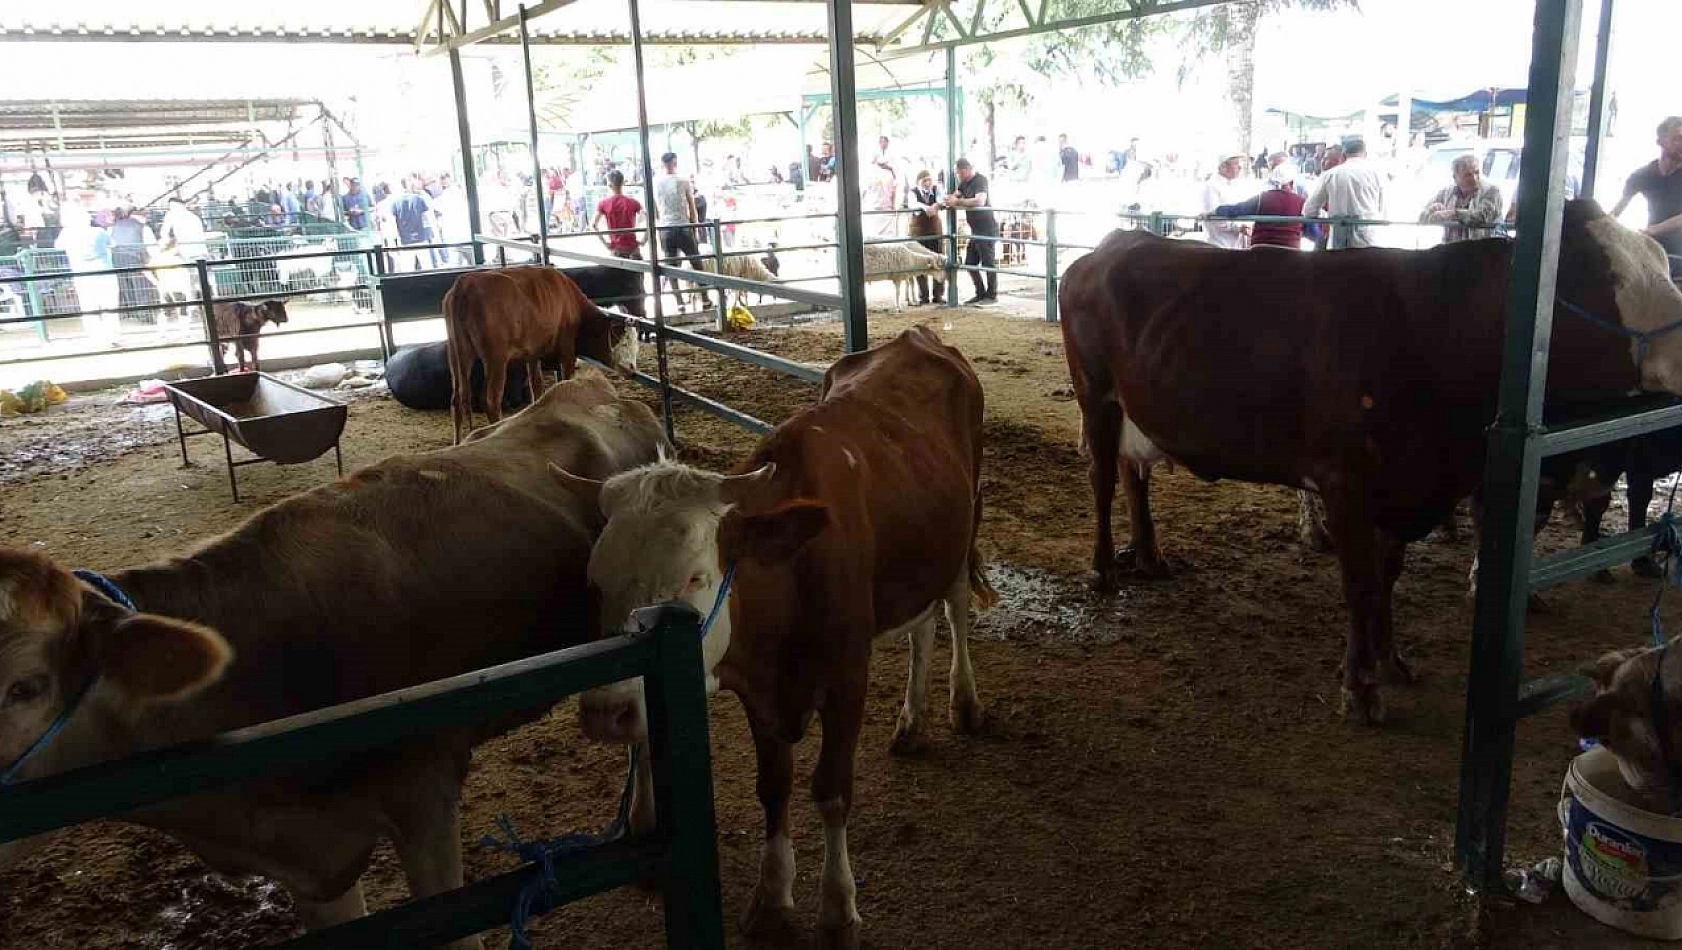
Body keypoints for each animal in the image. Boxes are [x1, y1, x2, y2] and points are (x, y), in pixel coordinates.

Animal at [444, 262, 639, 443]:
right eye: (624, 342)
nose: (632, 369)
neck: (570, 301)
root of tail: (464, 283)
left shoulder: (533, 354)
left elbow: (537, 386)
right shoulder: (567, 352)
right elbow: (565, 380)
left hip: (456, 354)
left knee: (456, 399)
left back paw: (457, 442)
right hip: (496, 360)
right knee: (492, 401)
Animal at [555, 324, 995, 941]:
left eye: (696, 576)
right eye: (596, 580)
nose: (606, 712)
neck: (792, 574)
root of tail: (916, 336)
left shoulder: (847, 677)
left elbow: (831, 790)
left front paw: (836, 907)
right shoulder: (757, 692)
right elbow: (774, 787)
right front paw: (771, 896)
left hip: (963, 524)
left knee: (952, 610)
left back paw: (965, 702)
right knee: (921, 626)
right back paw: (912, 721)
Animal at [1069, 198, 1682, 719]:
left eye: (1658, 264)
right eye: (1605, 279)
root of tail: (1113, 244)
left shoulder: (1402, 488)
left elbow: (1387, 576)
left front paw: (1391, 661)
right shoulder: (1347, 485)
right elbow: (1359, 586)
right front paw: (1359, 687)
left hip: (1137, 408)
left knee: (1134, 475)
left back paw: (1150, 556)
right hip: (1096, 395)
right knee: (1102, 479)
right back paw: (1102, 569)